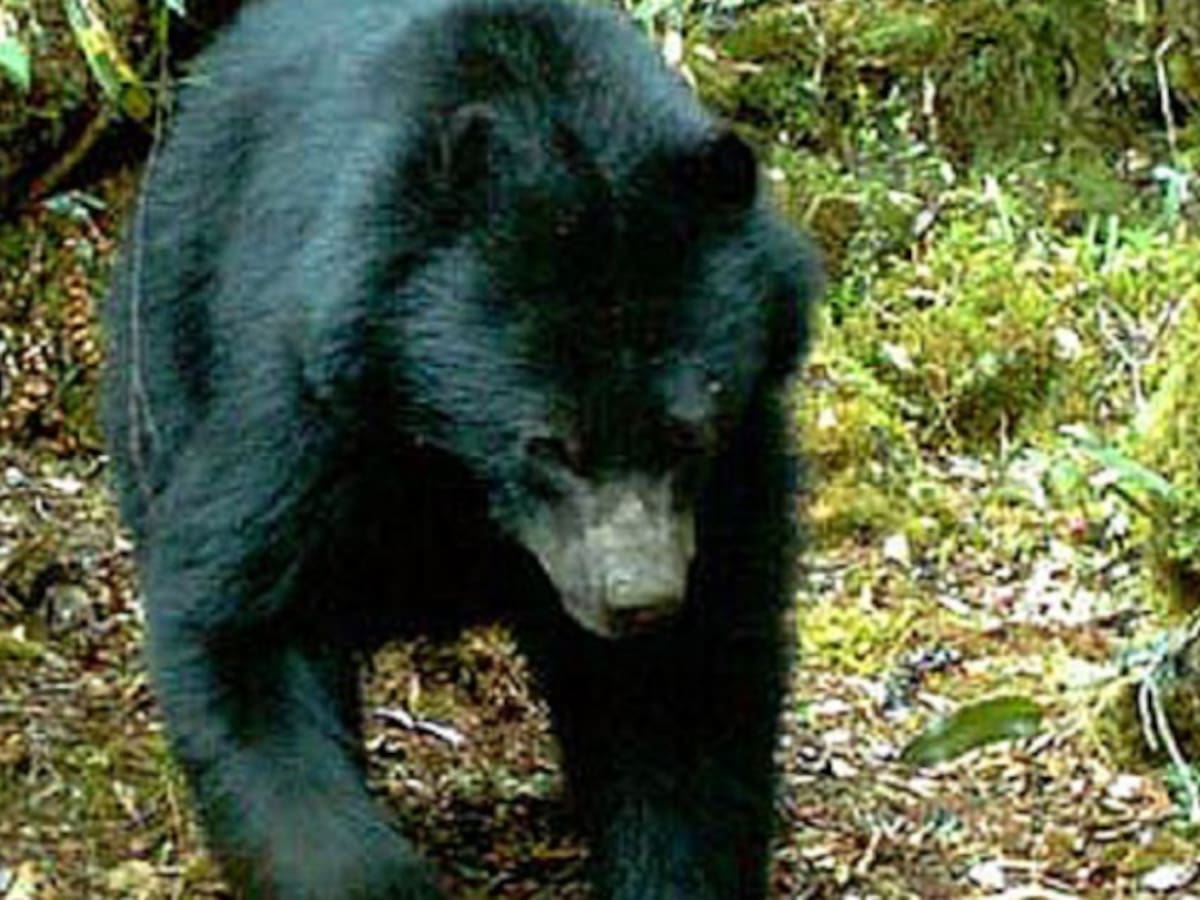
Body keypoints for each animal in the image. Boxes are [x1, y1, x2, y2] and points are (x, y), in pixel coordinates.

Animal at [101, 0, 820, 897]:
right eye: (548, 445)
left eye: (688, 431)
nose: (638, 598)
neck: (453, 470)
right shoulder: (314, 397)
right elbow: (241, 619)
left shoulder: (737, 464)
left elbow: (689, 691)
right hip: (168, 344)